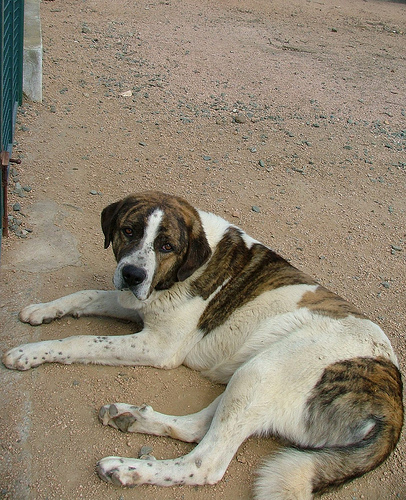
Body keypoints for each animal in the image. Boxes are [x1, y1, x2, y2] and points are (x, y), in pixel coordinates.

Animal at [3, 190, 402, 496]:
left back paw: (130, 468)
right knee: (199, 428)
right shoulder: (136, 305)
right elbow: (84, 295)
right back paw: (132, 417)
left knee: (204, 463)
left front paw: (31, 351)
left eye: (166, 245)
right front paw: (41, 311)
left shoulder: (157, 346)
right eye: (128, 231)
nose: (133, 275)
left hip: (264, 371)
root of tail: (393, 406)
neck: (182, 270)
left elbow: (84, 339)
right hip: (252, 372)